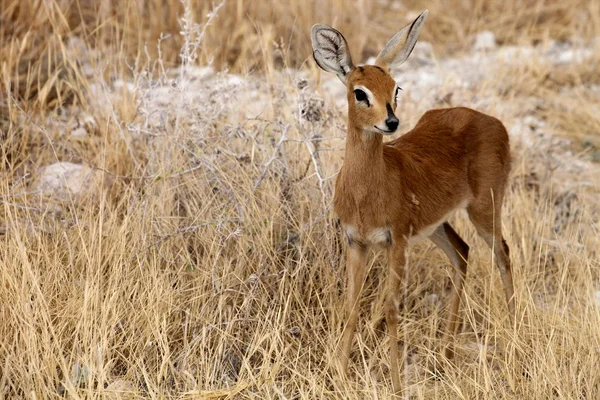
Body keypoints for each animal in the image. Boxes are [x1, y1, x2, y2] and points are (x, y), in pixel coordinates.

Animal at [312, 9, 512, 394]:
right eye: (359, 92)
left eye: (396, 88)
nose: (391, 122)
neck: (366, 191)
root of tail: (494, 122)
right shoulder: (356, 242)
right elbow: (352, 307)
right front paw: (340, 377)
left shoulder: (397, 241)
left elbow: (391, 308)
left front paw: (395, 384)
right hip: (436, 225)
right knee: (462, 253)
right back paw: (446, 354)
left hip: (484, 209)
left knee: (503, 254)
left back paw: (513, 334)